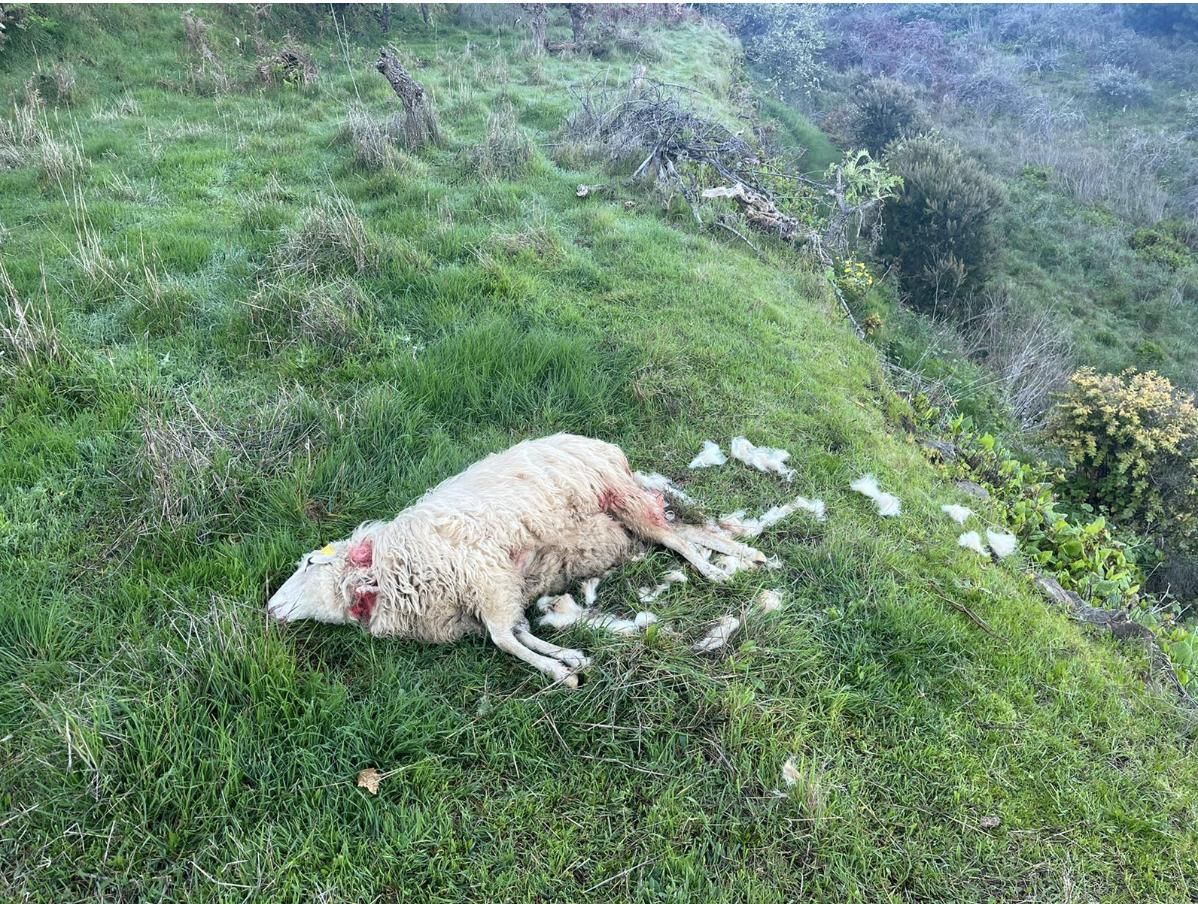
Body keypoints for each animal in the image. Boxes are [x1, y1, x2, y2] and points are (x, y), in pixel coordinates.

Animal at [266, 433, 765, 686]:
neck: (387, 575)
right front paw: (568, 657)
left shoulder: (487, 578)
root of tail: (604, 444)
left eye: (309, 564)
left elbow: (505, 640)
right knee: (683, 533)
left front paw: (557, 670)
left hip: (620, 497)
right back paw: (749, 556)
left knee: (678, 540)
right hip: (624, 527)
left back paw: (715, 572)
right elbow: (517, 631)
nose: (269, 608)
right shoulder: (494, 595)